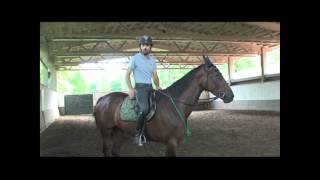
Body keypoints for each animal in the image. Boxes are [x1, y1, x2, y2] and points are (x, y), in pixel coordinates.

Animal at [94, 55, 234, 157]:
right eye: (217, 75)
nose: (230, 96)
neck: (175, 105)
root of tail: (103, 99)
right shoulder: (171, 142)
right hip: (106, 132)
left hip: (119, 133)